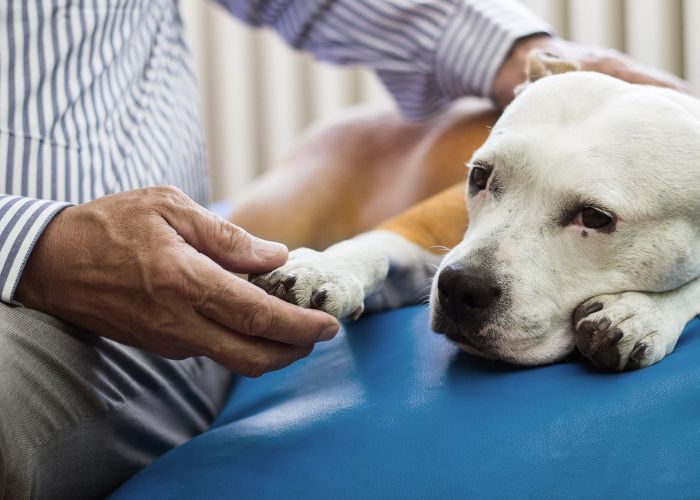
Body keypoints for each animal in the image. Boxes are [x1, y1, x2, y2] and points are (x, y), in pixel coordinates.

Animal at [252, 68, 700, 370]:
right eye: (480, 176)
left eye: (593, 217)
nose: (461, 286)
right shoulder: (416, 235)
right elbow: (374, 245)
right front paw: (325, 267)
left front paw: (643, 313)